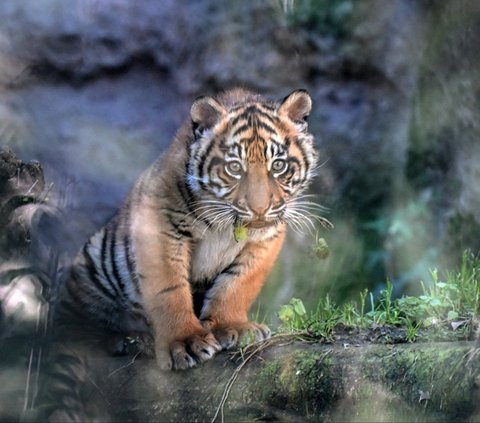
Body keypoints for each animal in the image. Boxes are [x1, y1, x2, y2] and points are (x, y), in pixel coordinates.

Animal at [54, 87, 318, 372]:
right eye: (235, 167)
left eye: (278, 165)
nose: (259, 209)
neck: (225, 225)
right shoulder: (161, 228)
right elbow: (169, 290)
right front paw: (186, 342)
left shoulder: (265, 239)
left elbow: (238, 283)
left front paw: (234, 327)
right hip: (91, 268)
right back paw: (129, 340)